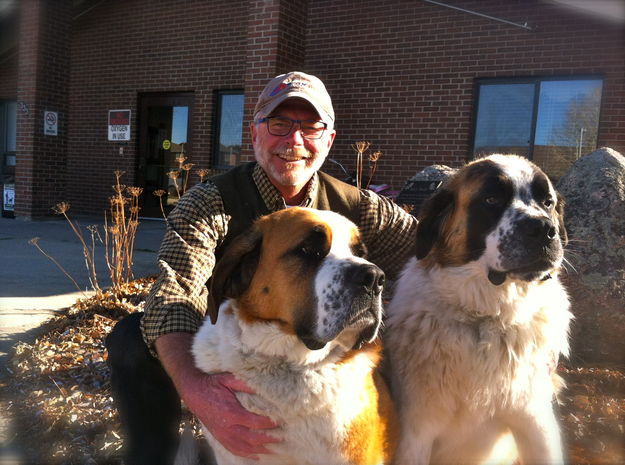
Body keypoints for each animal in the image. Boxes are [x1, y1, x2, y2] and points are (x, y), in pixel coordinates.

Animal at [388, 154, 572, 462]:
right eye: (492, 199)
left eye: (547, 202)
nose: (546, 229)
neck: (488, 319)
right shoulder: (415, 433)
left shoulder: (536, 424)